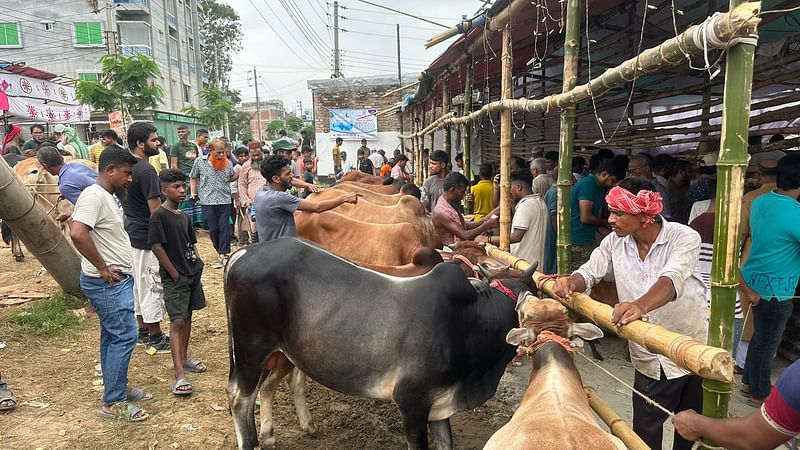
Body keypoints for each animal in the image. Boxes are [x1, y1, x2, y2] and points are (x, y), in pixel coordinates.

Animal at [225, 237, 536, 448]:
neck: (470, 319)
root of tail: (243, 252)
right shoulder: (412, 402)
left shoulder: (440, 403)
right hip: (252, 349)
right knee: (240, 397)